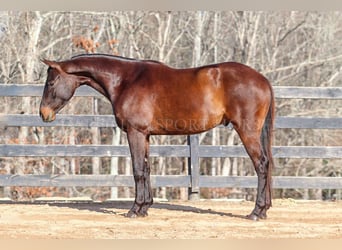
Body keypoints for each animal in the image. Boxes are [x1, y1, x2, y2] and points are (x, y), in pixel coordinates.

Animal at [39, 53, 276, 221]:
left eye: (50, 83)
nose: (43, 114)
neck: (126, 80)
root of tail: (263, 80)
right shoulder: (145, 135)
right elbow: (146, 169)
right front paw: (145, 207)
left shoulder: (135, 132)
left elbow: (137, 170)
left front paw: (134, 209)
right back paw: (263, 210)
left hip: (247, 131)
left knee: (262, 164)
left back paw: (256, 212)